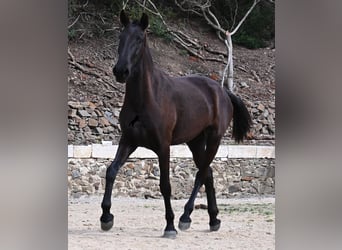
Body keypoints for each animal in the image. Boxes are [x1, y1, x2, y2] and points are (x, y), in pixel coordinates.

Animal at [99, 10, 251, 238]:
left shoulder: (163, 147)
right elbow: (111, 171)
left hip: (214, 139)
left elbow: (165, 185)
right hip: (195, 142)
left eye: (139, 39)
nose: (120, 71)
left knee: (201, 174)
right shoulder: (128, 141)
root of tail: (222, 91)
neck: (145, 98)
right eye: (121, 37)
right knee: (208, 174)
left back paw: (185, 217)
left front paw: (169, 225)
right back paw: (213, 219)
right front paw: (106, 217)